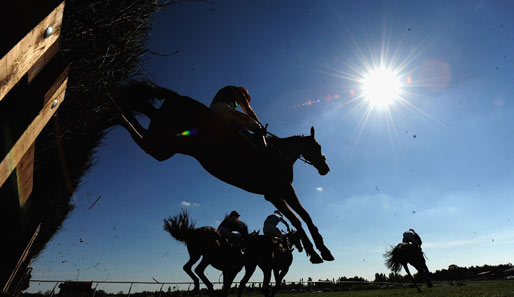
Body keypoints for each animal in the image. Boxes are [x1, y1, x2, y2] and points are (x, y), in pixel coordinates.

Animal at [116, 81, 332, 264]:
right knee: (135, 119)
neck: (279, 155)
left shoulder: (284, 191)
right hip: (166, 140)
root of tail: (178, 97)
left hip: (166, 143)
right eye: (318, 147)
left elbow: (306, 216)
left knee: (143, 120)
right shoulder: (275, 193)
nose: (325, 169)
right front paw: (314, 252)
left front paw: (323, 249)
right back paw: (115, 111)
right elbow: (297, 220)